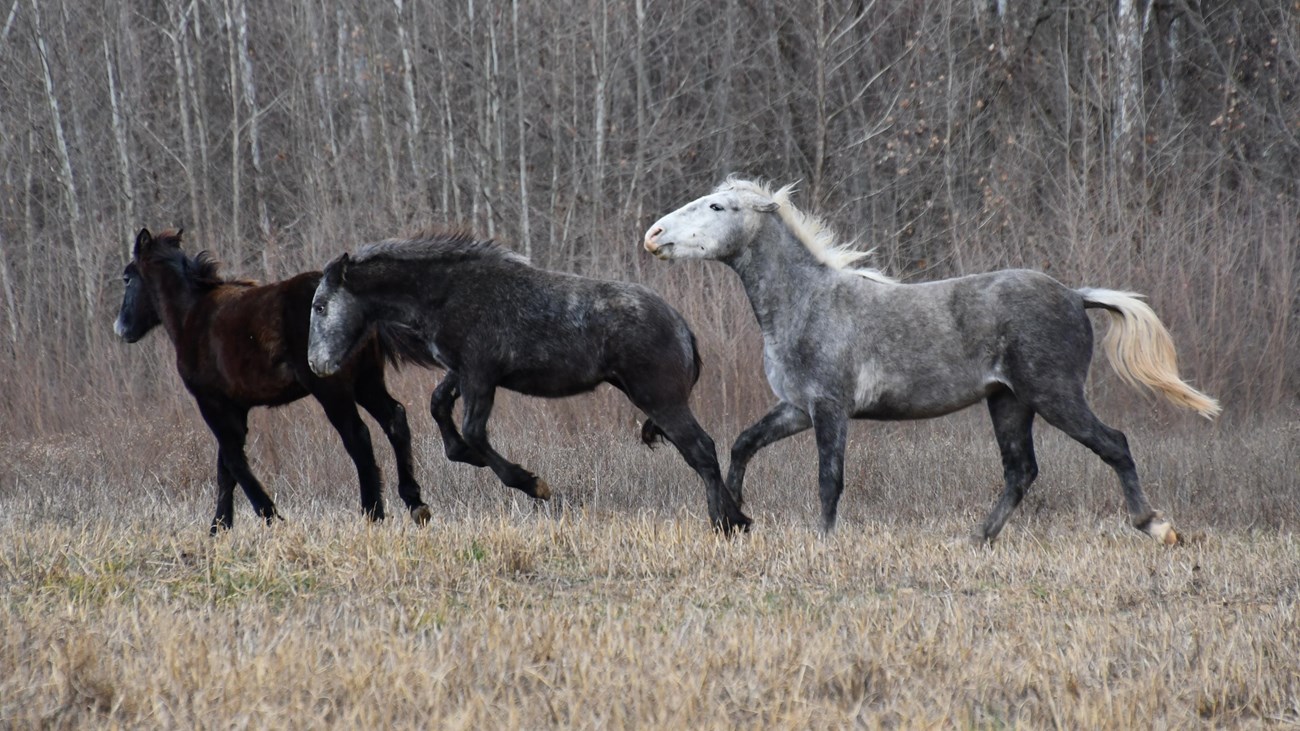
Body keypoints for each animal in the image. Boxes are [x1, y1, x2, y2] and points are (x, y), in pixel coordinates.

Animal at [116, 226, 431, 528]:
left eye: (127, 278)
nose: (122, 328)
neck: (192, 315)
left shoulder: (212, 402)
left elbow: (233, 461)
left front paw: (268, 515)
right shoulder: (236, 407)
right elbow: (225, 468)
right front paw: (220, 527)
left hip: (332, 389)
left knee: (358, 436)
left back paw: (372, 512)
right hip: (367, 381)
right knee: (394, 418)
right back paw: (416, 504)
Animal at [305, 231, 754, 528]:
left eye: (321, 305)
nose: (315, 364)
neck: (446, 291)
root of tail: (683, 328)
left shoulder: (480, 376)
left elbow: (474, 433)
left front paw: (533, 484)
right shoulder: (463, 373)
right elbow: (442, 414)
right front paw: (470, 458)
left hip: (661, 401)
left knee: (702, 450)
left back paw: (727, 521)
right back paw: (735, 517)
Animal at [647, 176, 1216, 541]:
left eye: (718, 208)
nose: (654, 235)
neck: (807, 302)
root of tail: (1076, 296)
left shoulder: (830, 408)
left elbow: (829, 480)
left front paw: (821, 542)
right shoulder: (796, 408)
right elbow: (743, 444)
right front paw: (730, 518)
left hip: (1054, 396)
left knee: (1113, 444)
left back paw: (1157, 527)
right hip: (1009, 402)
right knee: (1021, 471)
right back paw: (974, 540)